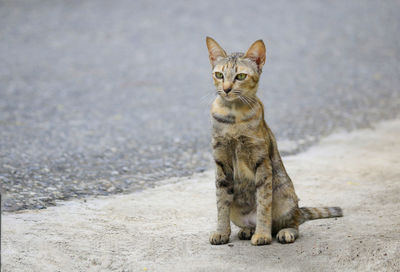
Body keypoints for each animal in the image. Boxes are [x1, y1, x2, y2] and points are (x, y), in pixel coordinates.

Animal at [205, 37, 342, 245]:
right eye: (219, 75)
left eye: (241, 76)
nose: (226, 89)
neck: (233, 115)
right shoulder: (221, 163)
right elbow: (221, 204)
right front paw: (221, 232)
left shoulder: (261, 162)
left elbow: (263, 203)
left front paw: (262, 234)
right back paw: (247, 230)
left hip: (285, 196)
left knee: (292, 223)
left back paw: (283, 232)